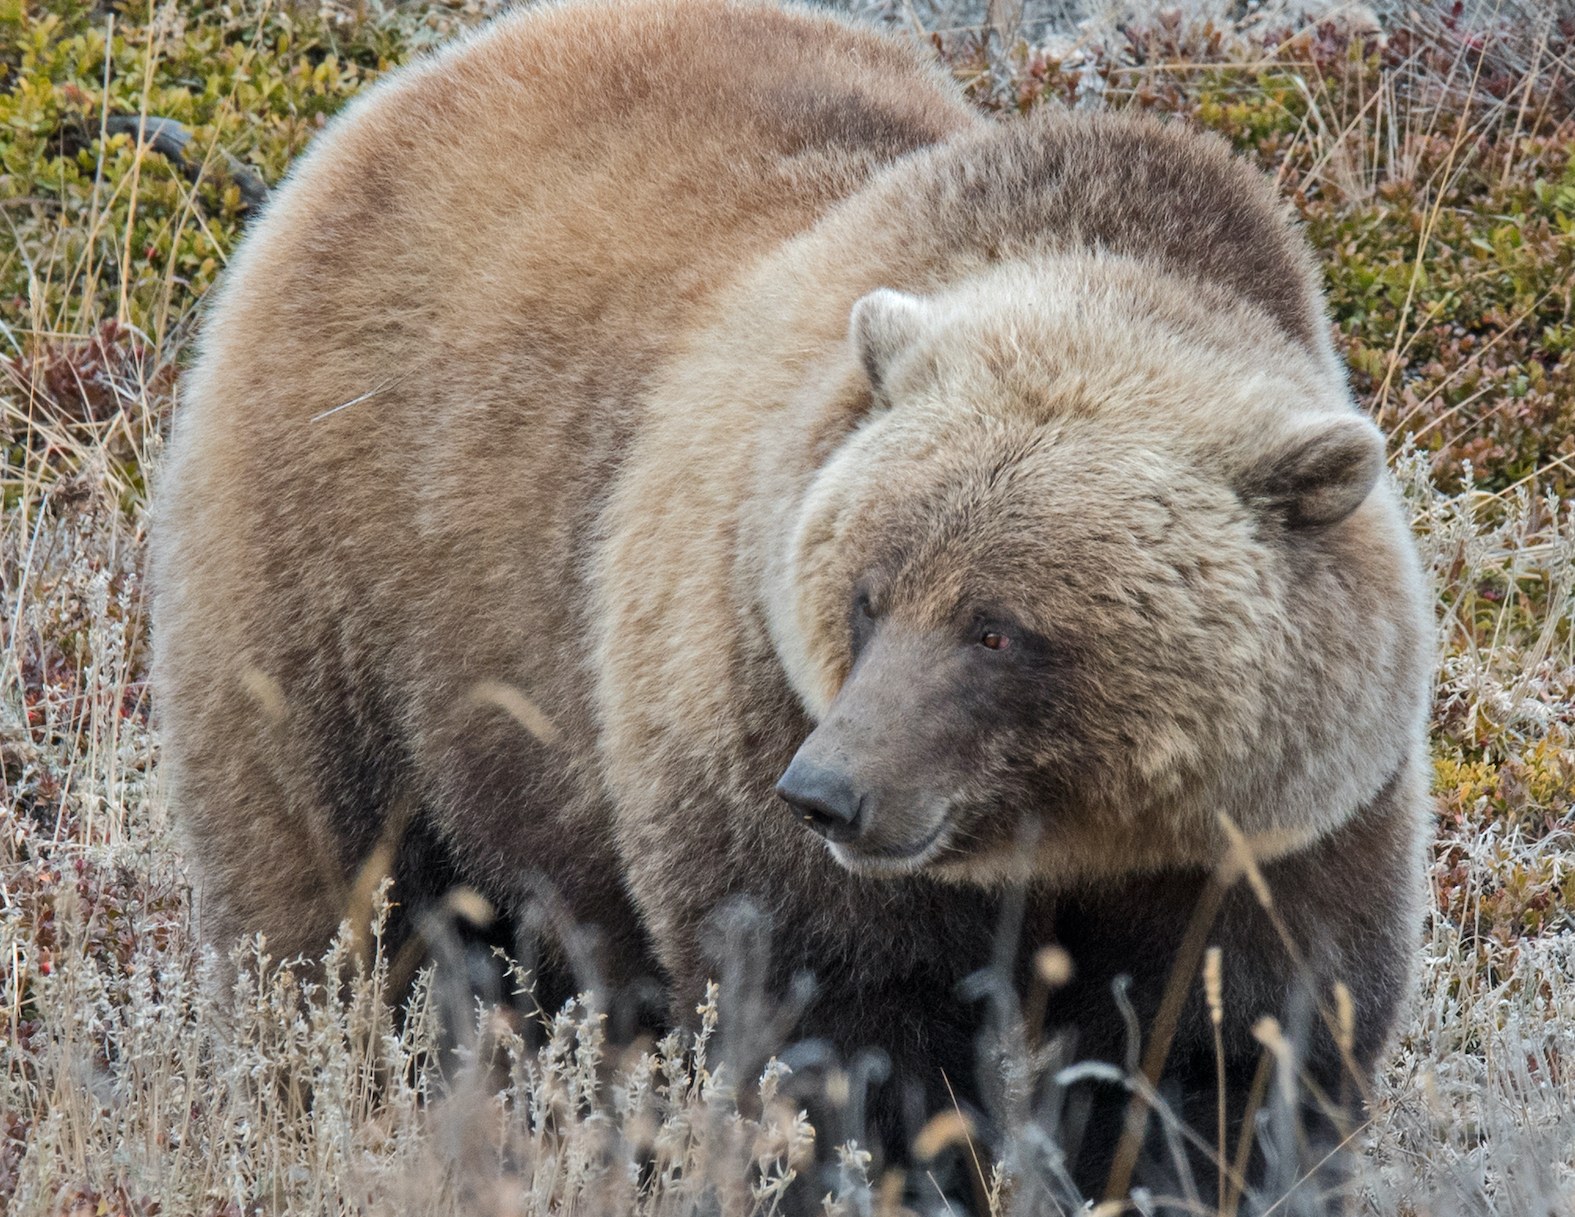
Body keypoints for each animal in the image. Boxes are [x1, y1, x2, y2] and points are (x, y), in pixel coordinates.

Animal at [149, 0, 1434, 1208]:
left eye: (998, 627)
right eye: (868, 595)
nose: (831, 790)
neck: (1067, 837)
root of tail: (399, 96)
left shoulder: (1268, 834)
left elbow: (1231, 1061)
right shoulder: (748, 714)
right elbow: (841, 1035)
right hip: (344, 577)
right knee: (328, 905)